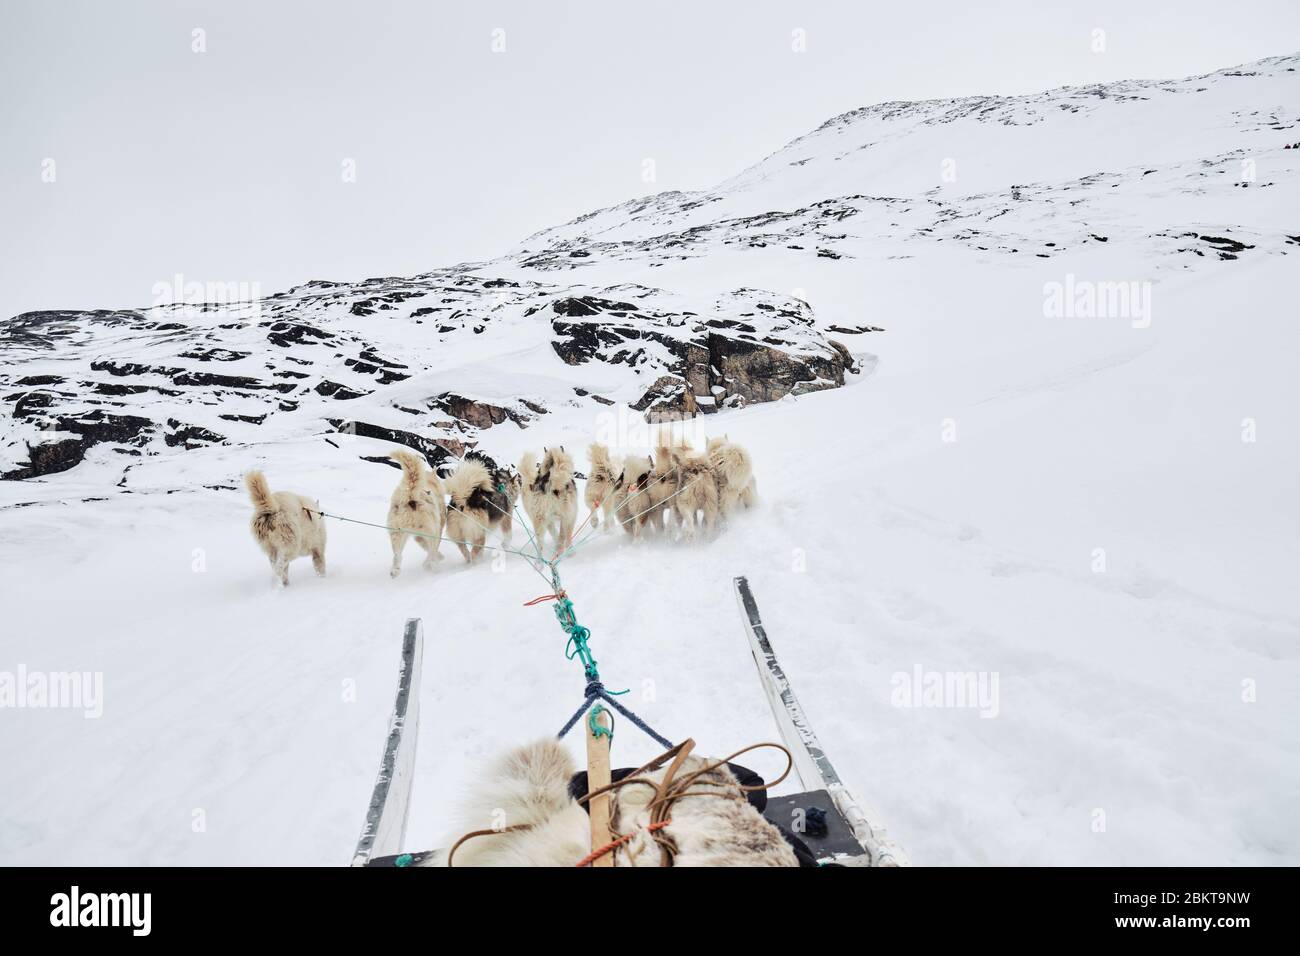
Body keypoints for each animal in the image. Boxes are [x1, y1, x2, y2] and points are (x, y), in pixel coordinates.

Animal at [384, 452, 447, 580]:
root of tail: (411, 494)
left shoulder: (418, 536)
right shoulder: (435, 530)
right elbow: (432, 548)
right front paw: (436, 559)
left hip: (397, 533)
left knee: (397, 555)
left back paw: (395, 571)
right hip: (431, 531)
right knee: (432, 551)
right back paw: (433, 565)